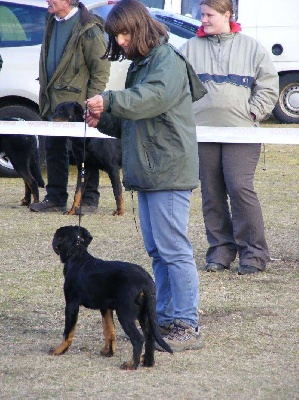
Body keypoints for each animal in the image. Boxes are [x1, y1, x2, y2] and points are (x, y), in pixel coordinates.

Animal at [51, 227, 173, 370]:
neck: (77, 256)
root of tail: (146, 282)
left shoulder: (71, 305)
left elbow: (68, 332)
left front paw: (58, 351)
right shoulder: (106, 308)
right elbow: (109, 330)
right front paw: (108, 352)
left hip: (125, 314)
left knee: (138, 339)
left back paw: (131, 365)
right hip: (144, 313)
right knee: (149, 337)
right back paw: (148, 362)